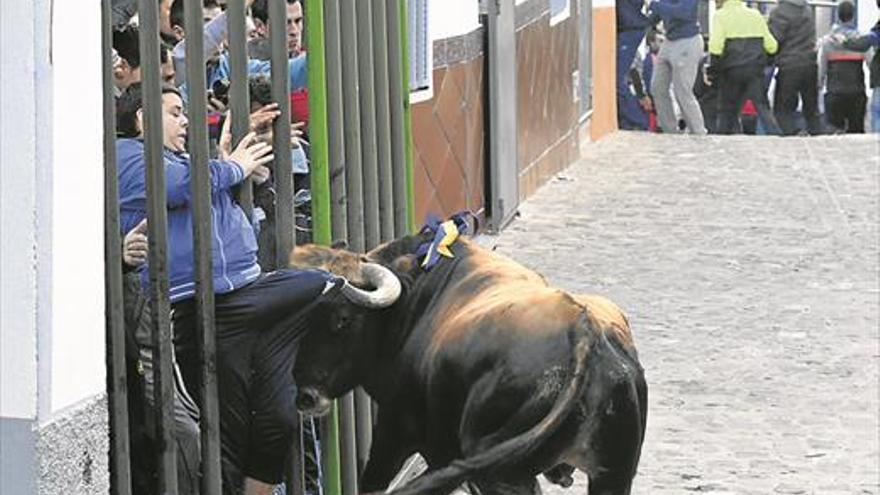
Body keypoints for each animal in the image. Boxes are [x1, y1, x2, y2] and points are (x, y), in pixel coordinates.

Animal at [288, 225, 648, 495]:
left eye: (342, 319)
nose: (305, 395)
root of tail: (584, 332)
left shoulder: (397, 430)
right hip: (611, 475)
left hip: (500, 475)